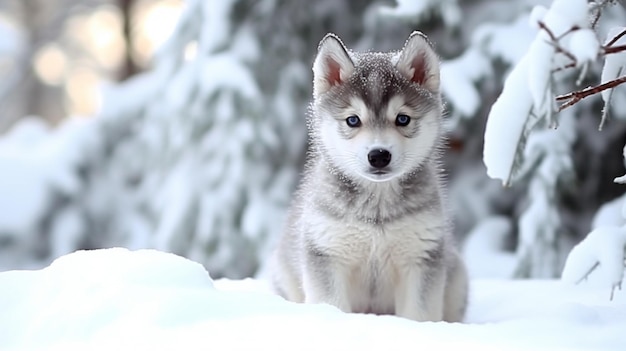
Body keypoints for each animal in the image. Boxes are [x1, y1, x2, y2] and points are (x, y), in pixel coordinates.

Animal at [270, 31, 466, 324]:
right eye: (353, 120)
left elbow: (418, 315)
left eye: (403, 119)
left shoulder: (420, 257)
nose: (379, 155)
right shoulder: (326, 254)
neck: (377, 210)